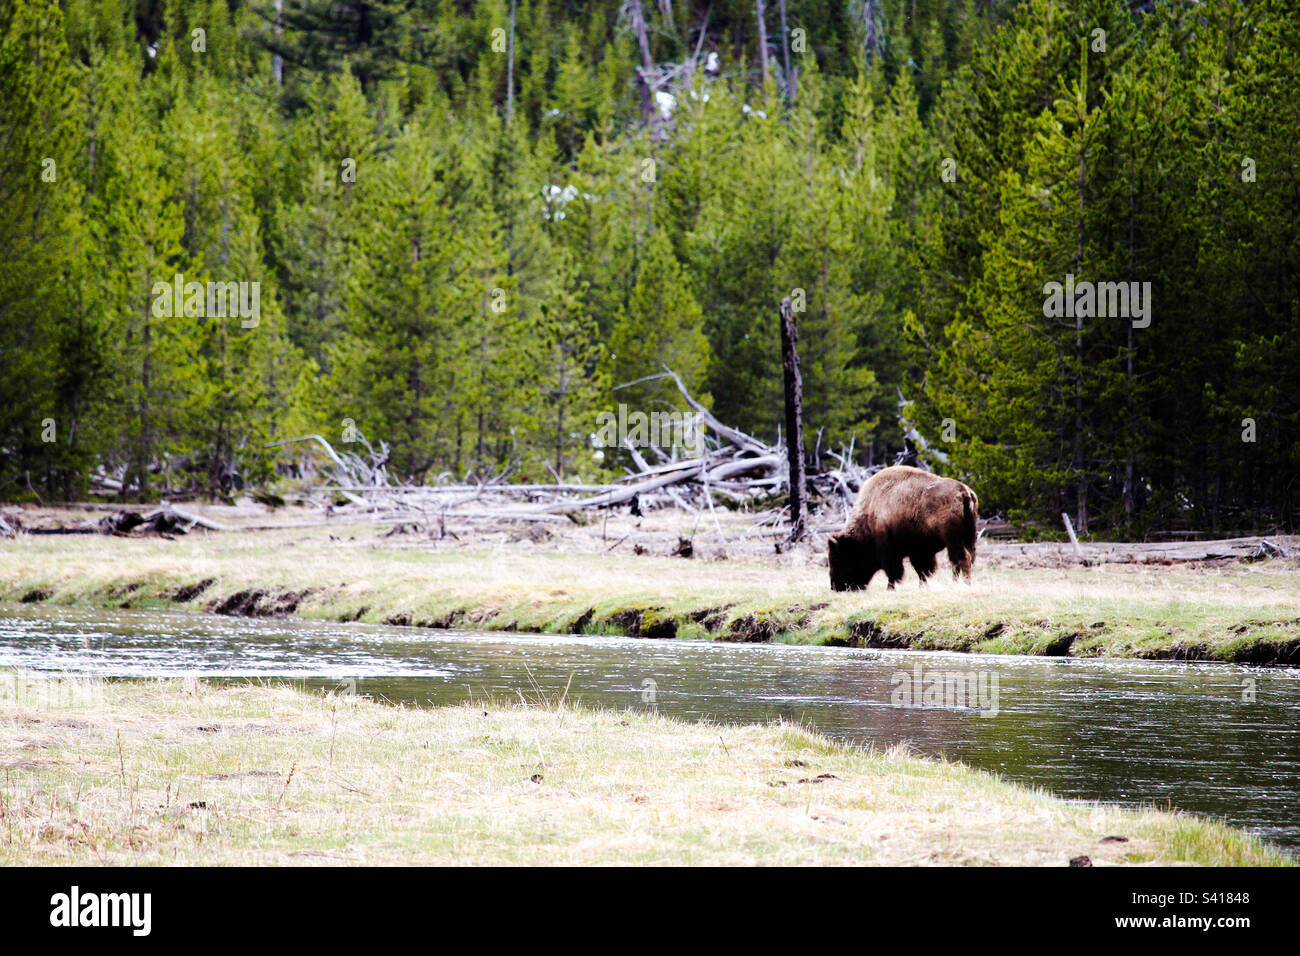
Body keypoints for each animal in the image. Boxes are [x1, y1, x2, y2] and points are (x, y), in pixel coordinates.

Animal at [826, 465, 977, 590]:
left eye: (838, 559)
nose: (835, 587)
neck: (870, 514)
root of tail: (964, 491)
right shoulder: (917, 551)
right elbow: (921, 570)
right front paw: (922, 587)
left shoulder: (888, 550)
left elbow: (893, 571)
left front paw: (890, 588)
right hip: (965, 539)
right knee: (959, 560)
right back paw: (955, 583)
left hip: (953, 540)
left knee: (961, 559)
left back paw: (965, 584)